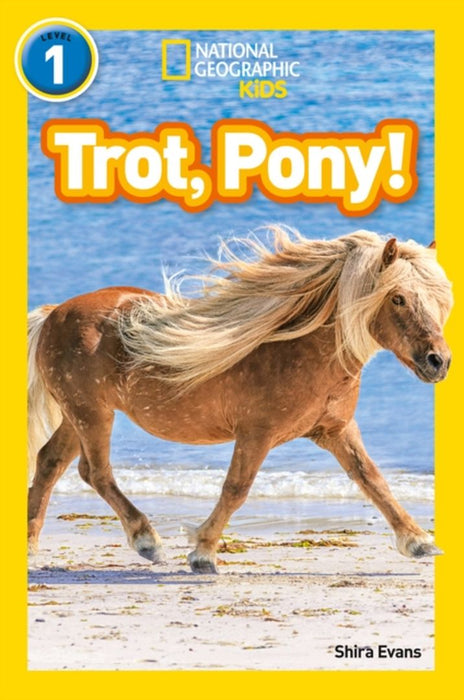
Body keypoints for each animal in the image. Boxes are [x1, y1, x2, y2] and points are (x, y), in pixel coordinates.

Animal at [28, 227, 453, 573]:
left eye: (439, 300)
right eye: (397, 298)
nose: (440, 361)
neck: (299, 348)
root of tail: (55, 314)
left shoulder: (336, 430)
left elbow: (373, 480)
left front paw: (418, 542)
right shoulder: (256, 434)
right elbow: (236, 489)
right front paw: (202, 553)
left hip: (79, 415)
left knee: (50, 462)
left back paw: (31, 546)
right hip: (92, 414)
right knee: (95, 472)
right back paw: (148, 541)